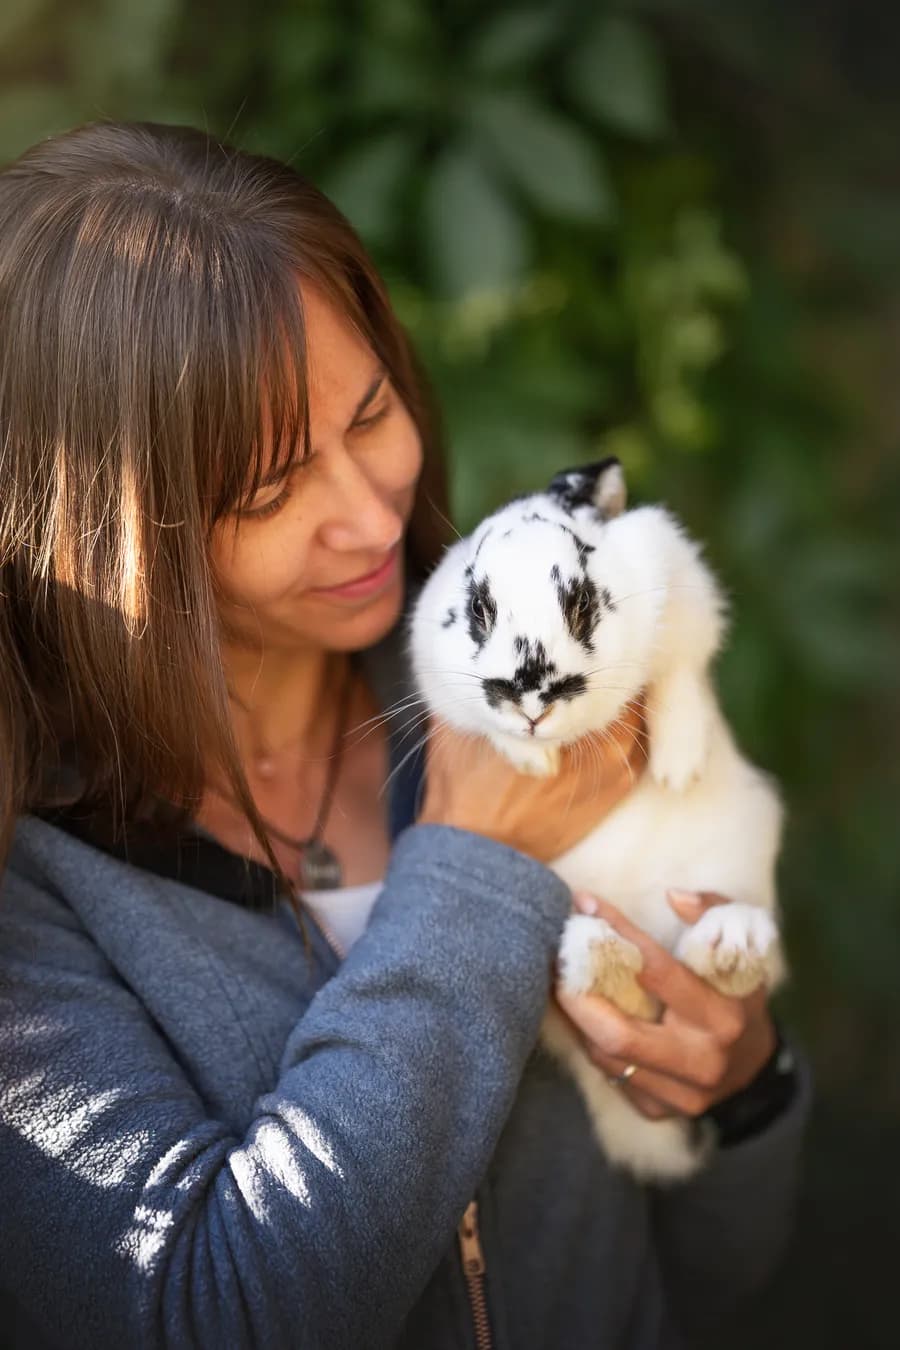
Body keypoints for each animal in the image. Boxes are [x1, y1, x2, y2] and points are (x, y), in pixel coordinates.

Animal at [409, 458, 786, 1182]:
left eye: (581, 603)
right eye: (478, 609)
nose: (531, 700)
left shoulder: (681, 585)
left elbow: (679, 674)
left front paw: (677, 763)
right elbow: (480, 722)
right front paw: (529, 760)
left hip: (733, 863)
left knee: (737, 969)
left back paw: (729, 941)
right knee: (608, 1000)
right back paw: (602, 952)